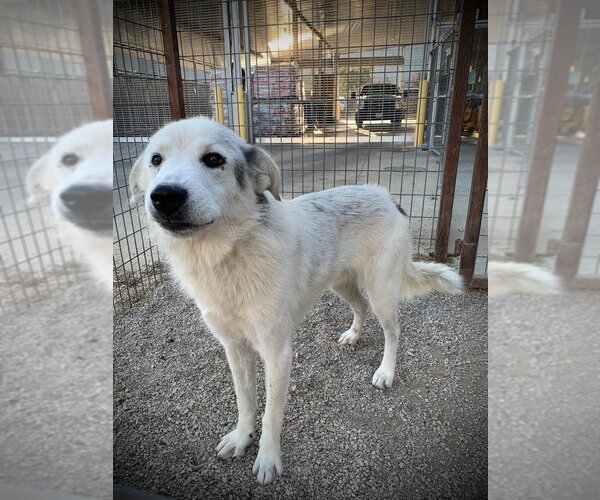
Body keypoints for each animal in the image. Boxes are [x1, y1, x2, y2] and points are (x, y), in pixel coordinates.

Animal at [129, 117, 462, 484]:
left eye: (214, 159)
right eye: (156, 160)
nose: (164, 196)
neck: (228, 253)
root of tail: (387, 196)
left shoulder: (278, 352)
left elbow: (271, 414)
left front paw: (267, 458)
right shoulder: (234, 347)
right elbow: (245, 402)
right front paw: (241, 437)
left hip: (381, 290)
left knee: (394, 331)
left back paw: (386, 372)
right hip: (340, 283)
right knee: (359, 308)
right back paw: (353, 335)